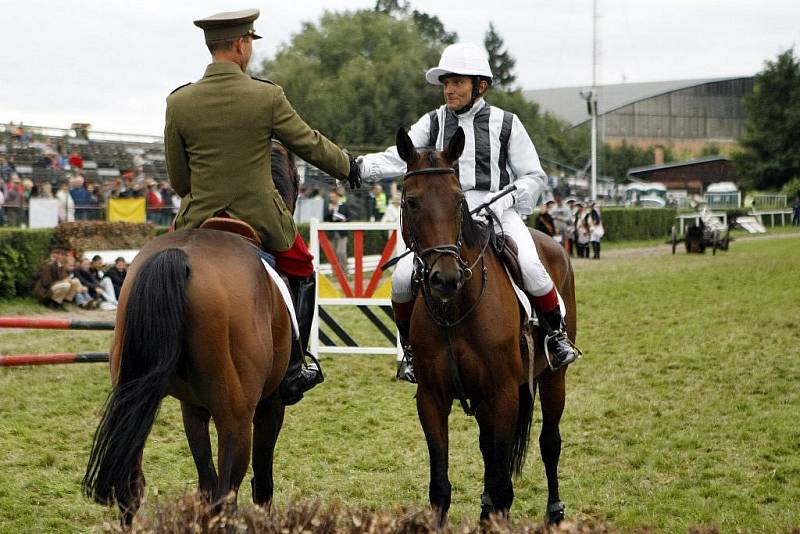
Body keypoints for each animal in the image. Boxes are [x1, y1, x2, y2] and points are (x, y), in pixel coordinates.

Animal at [82, 139, 300, 528]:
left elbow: (204, 482)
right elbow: (261, 481)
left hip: (132, 398)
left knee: (131, 486)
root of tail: (178, 257)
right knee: (227, 496)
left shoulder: (192, 408)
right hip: (236, 420)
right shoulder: (270, 404)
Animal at [398, 127, 576, 524]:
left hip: (552, 377)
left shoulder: (504, 394)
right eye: (412, 202)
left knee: (550, 442)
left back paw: (555, 511)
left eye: (458, 200)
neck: (456, 310)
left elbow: (503, 484)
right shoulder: (431, 398)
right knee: (488, 449)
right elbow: (441, 487)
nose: (445, 278)